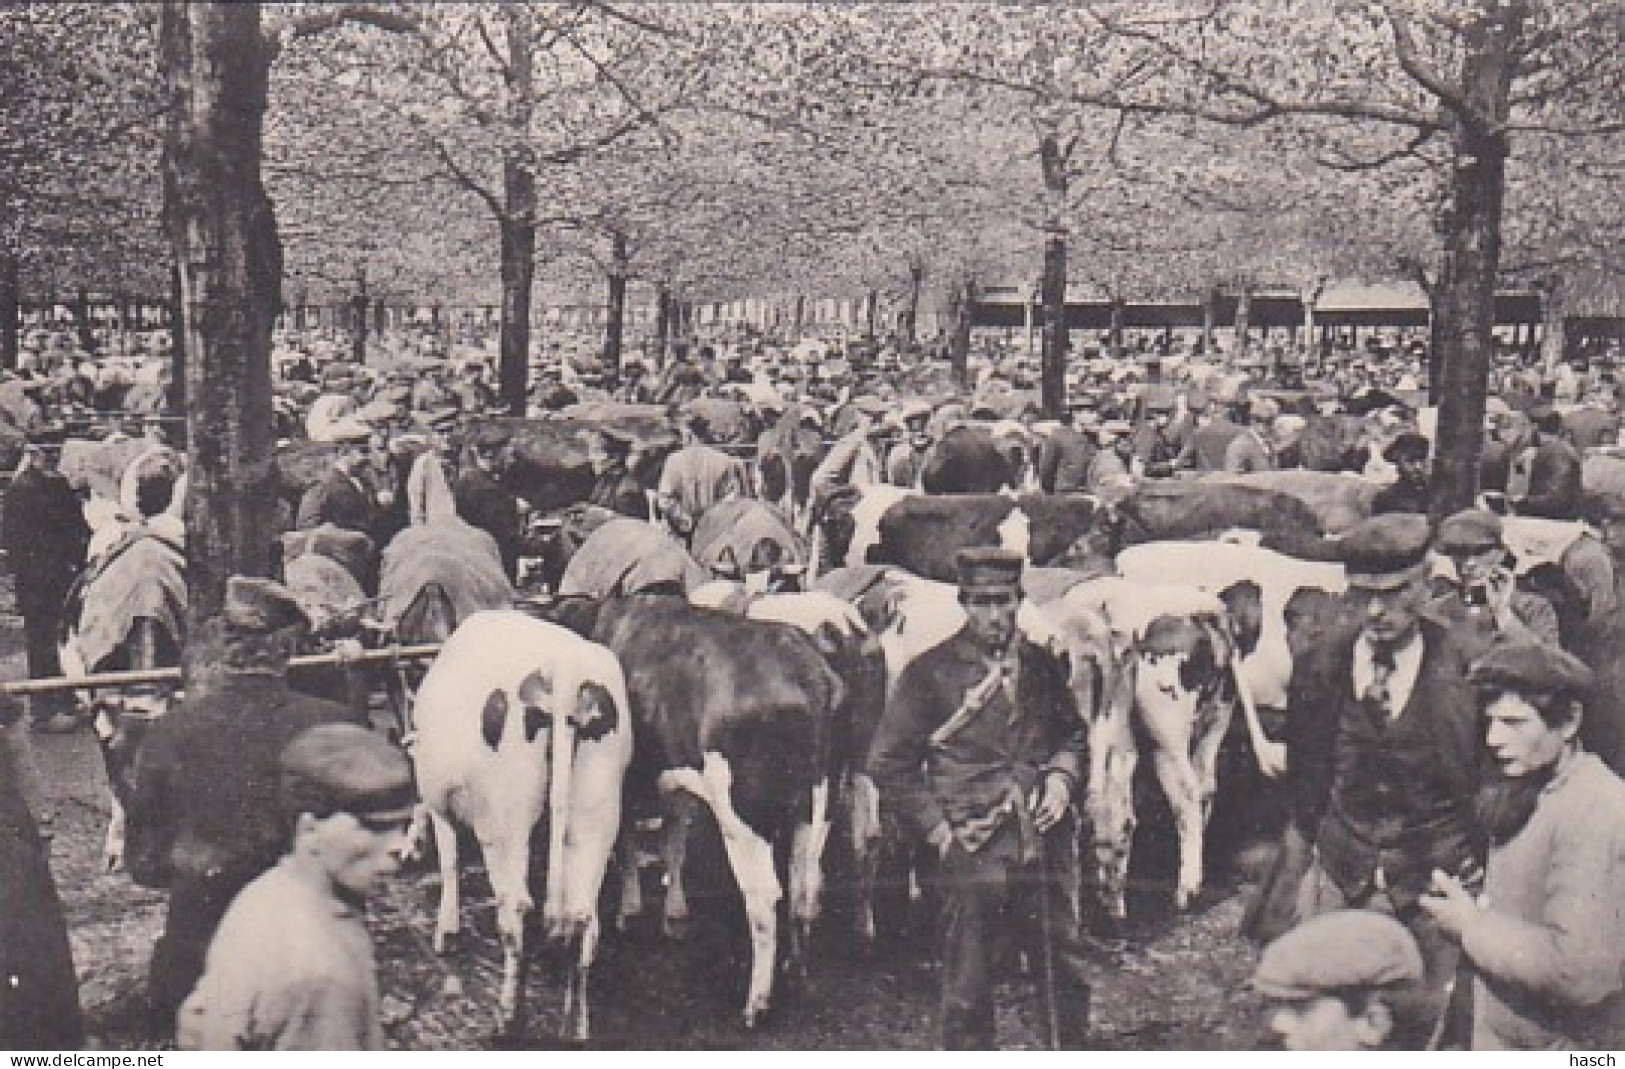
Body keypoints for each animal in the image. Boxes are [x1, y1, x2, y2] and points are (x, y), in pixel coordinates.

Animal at [409, 610, 630, 1039]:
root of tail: (564, 665)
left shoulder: (439, 798)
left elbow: (449, 861)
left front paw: (447, 931)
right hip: (596, 813)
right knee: (583, 919)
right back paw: (575, 1027)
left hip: (505, 822)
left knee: (518, 910)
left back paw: (508, 1018)